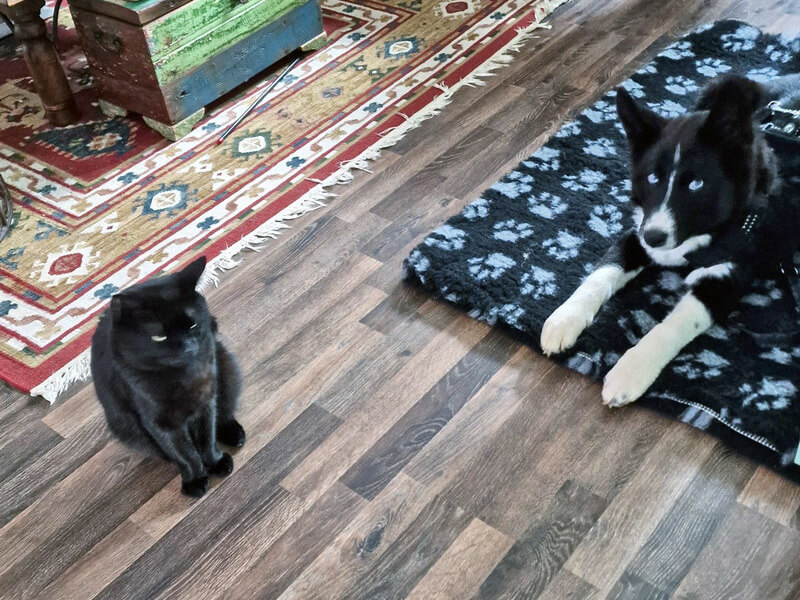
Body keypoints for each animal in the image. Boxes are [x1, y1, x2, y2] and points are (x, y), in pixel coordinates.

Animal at [90, 256, 246, 497]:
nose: (189, 345)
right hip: (123, 425)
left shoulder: (206, 402)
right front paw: (195, 480)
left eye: (192, 324)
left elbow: (207, 438)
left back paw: (235, 434)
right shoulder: (160, 424)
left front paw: (216, 462)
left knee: (225, 412)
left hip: (227, 369)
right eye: (159, 337)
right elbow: (184, 453)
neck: (183, 378)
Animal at [540, 74, 800, 407]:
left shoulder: (727, 276)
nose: (654, 237)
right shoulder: (637, 234)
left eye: (696, 184)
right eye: (652, 178)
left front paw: (631, 371)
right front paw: (564, 319)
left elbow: (676, 324)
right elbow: (602, 272)